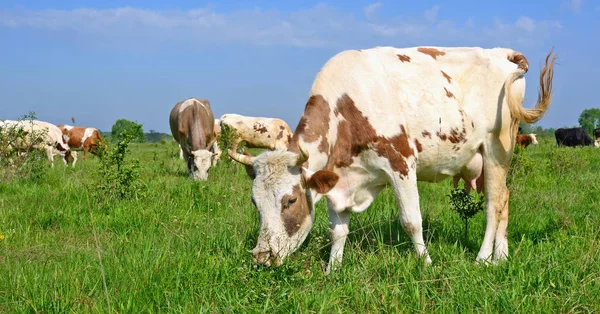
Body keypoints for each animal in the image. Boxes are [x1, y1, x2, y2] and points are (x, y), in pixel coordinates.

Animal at [227, 45, 556, 274]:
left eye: (290, 200)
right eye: (255, 203)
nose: (262, 256)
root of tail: (502, 53)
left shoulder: (401, 163)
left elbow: (411, 221)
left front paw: (426, 263)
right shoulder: (337, 179)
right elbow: (338, 230)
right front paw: (333, 269)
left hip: (498, 147)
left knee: (493, 205)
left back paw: (483, 258)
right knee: (504, 199)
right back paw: (501, 257)